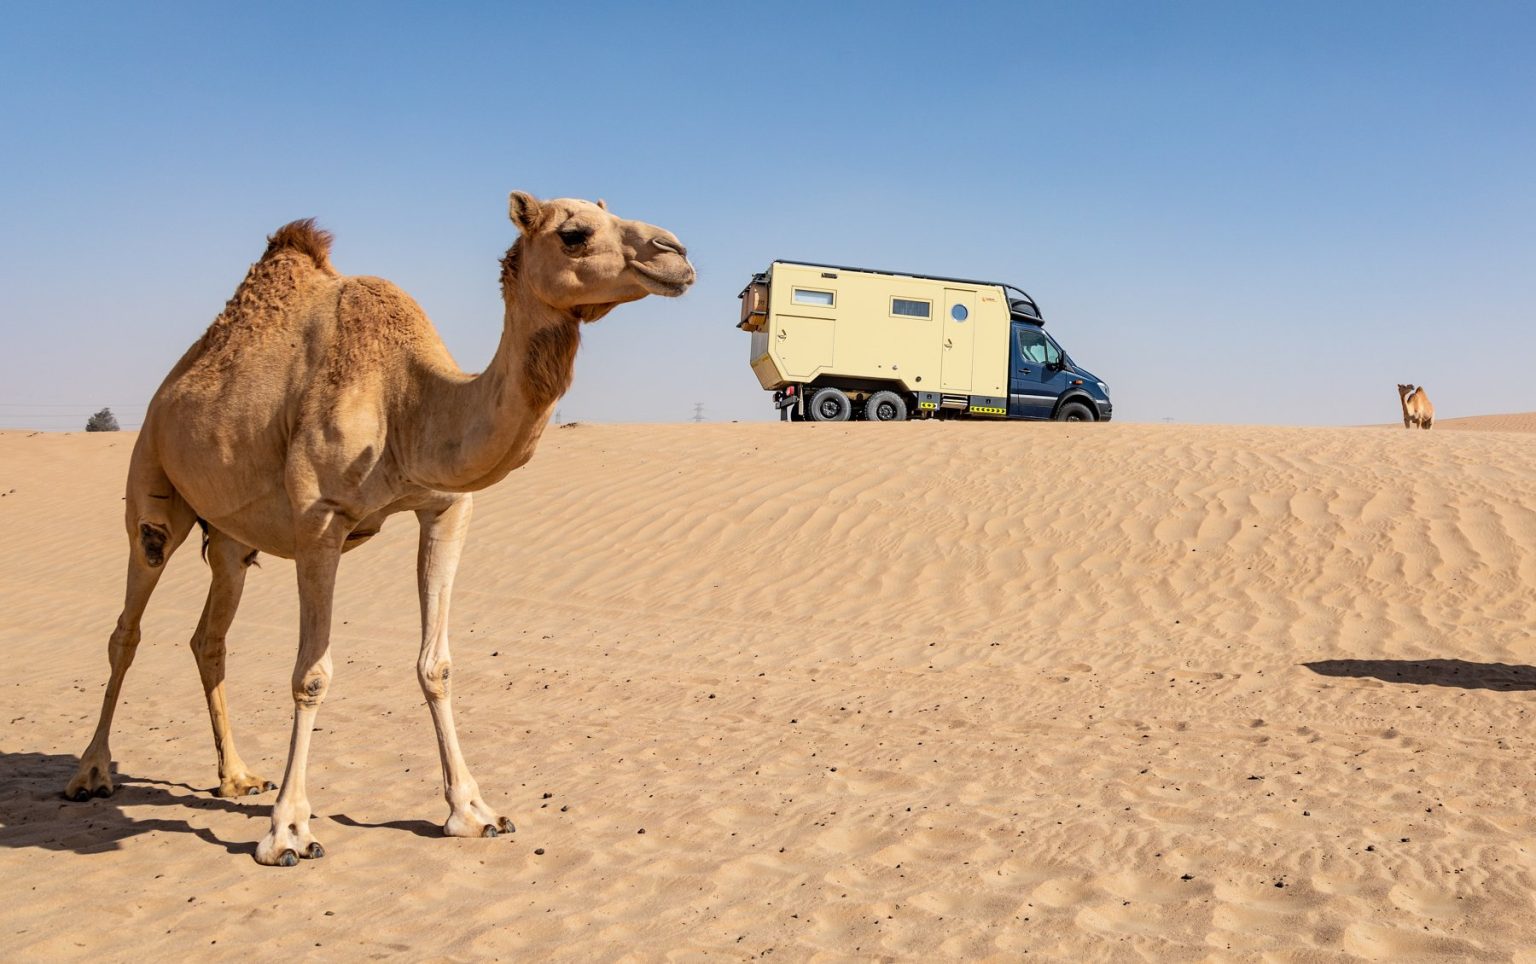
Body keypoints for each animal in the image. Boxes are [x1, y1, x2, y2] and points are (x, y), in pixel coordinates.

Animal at [64, 192, 694, 866]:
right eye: (574, 234)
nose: (676, 253)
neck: (408, 404)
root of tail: (168, 389)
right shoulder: (319, 521)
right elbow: (311, 674)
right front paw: (288, 831)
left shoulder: (447, 508)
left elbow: (436, 665)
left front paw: (474, 812)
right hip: (152, 486)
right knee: (128, 625)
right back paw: (90, 774)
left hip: (233, 538)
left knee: (209, 637)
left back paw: (236, 777)